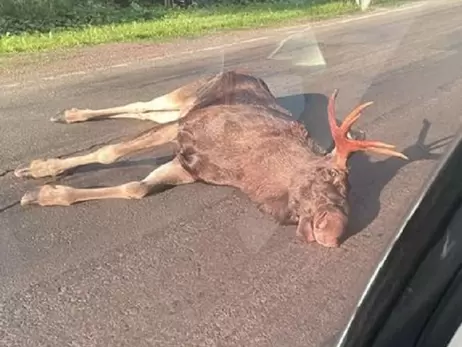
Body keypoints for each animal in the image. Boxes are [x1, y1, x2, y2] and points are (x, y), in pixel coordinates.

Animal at [14, 70, 406, 247]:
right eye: (333, 178)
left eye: (351, 193)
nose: (335, 231)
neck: (250, 173)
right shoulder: (185, 129)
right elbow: (110, 153)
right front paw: (39, 170)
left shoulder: (187, 166)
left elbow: (135, 188)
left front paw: (44, 194)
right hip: (185, 99)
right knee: (142, 103)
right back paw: (69, 115)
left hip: (180, 107)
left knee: (144, 110)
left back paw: (71, 115)